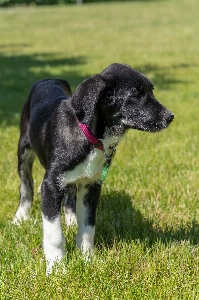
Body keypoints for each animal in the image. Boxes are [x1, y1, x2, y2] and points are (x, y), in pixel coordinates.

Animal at [13, 63, 173, 274]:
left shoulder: (91, 185)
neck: (91, 135)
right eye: (136, 95)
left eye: (151, 91)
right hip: (24, 148)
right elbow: (54, 234)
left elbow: (88, 226)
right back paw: (20, 216)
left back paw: (71, 218)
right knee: (26, 184)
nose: (170, 117)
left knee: (70, 191)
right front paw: (56, 268)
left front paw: (88, 259)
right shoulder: (51, 185)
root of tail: (48, 79)